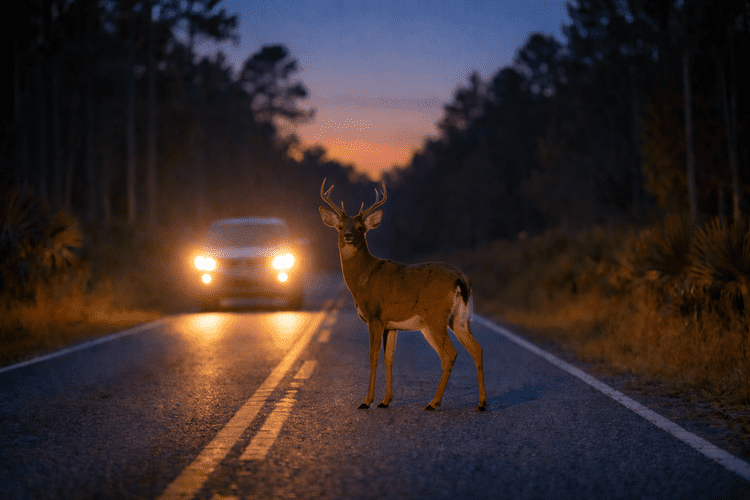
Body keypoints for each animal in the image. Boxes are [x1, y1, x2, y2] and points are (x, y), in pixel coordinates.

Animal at [319, 179, 487, 411]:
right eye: (340, 226)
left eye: (361, 228)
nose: (348, 236)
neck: (362, 277)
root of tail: (460, 278)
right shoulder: (391, 324)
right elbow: (389, 358)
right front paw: (385, 401)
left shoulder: (374, 316)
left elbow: (373, 357)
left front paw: (366, 401)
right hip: (460, 318)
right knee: (477, 349)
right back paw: (481, 403)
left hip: (435, 317)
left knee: (450, 354)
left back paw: (433, 403)